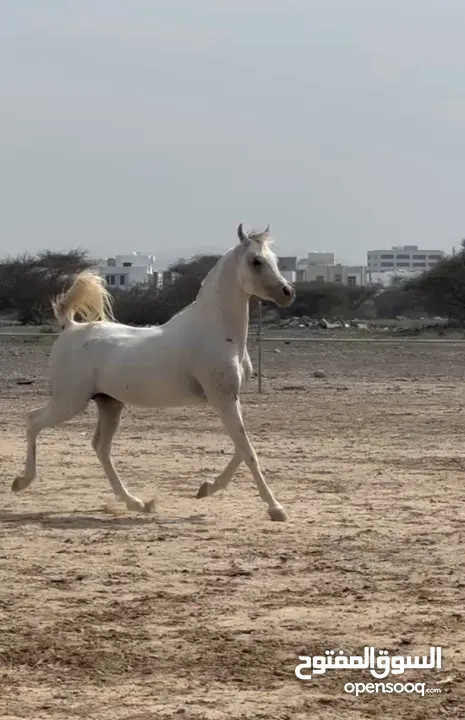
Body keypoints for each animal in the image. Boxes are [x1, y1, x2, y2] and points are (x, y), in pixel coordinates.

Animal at [15, 222, 298, 520]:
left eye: (275, 259)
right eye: (256, 261)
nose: (287, 293)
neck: (216, 332)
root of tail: (71, 327)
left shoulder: (232, 399)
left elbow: (242, 448)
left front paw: (206, 488)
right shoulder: (223, 400)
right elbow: (248, 451)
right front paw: (276, 509)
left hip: (109, 403)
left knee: (100, 447)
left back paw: (136, 502)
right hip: (70, 402)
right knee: (33, 421)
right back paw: (21, 482)